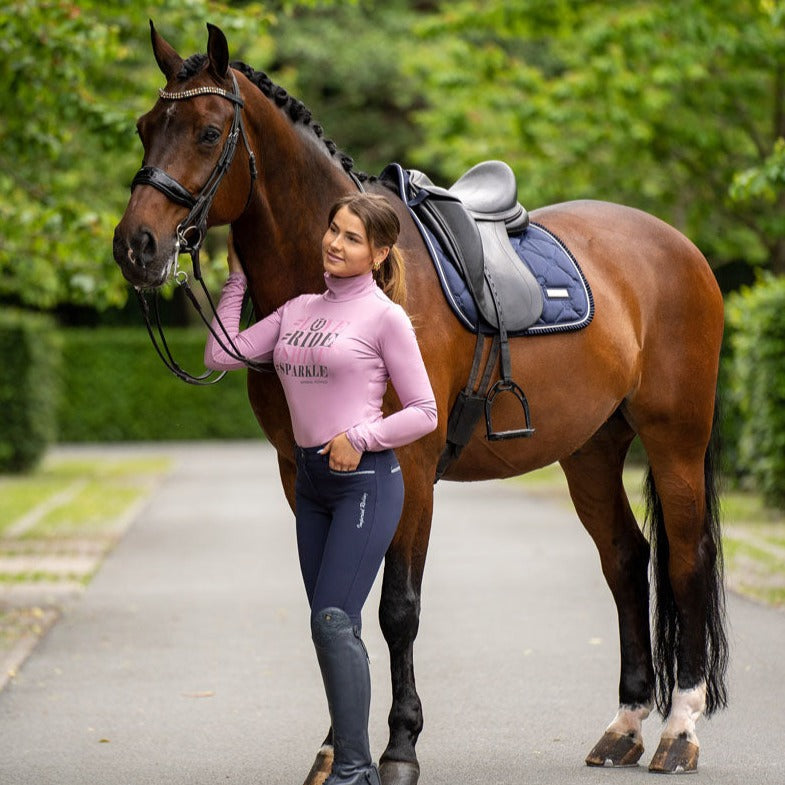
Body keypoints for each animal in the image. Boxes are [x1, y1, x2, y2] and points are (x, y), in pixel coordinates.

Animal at [112, 22, 728, 783]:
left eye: (205, 132)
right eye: (144, 128)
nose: (135, 246)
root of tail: (679, 248)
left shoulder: (407, 471)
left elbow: (396, 610)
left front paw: (400, 746)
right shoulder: (301, 472)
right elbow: (333, 600)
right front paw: (333, 748)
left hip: (676, 440)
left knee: (687, 561)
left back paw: (679, 730)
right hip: (590, 449)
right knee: (625, 557)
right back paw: (624, 725)